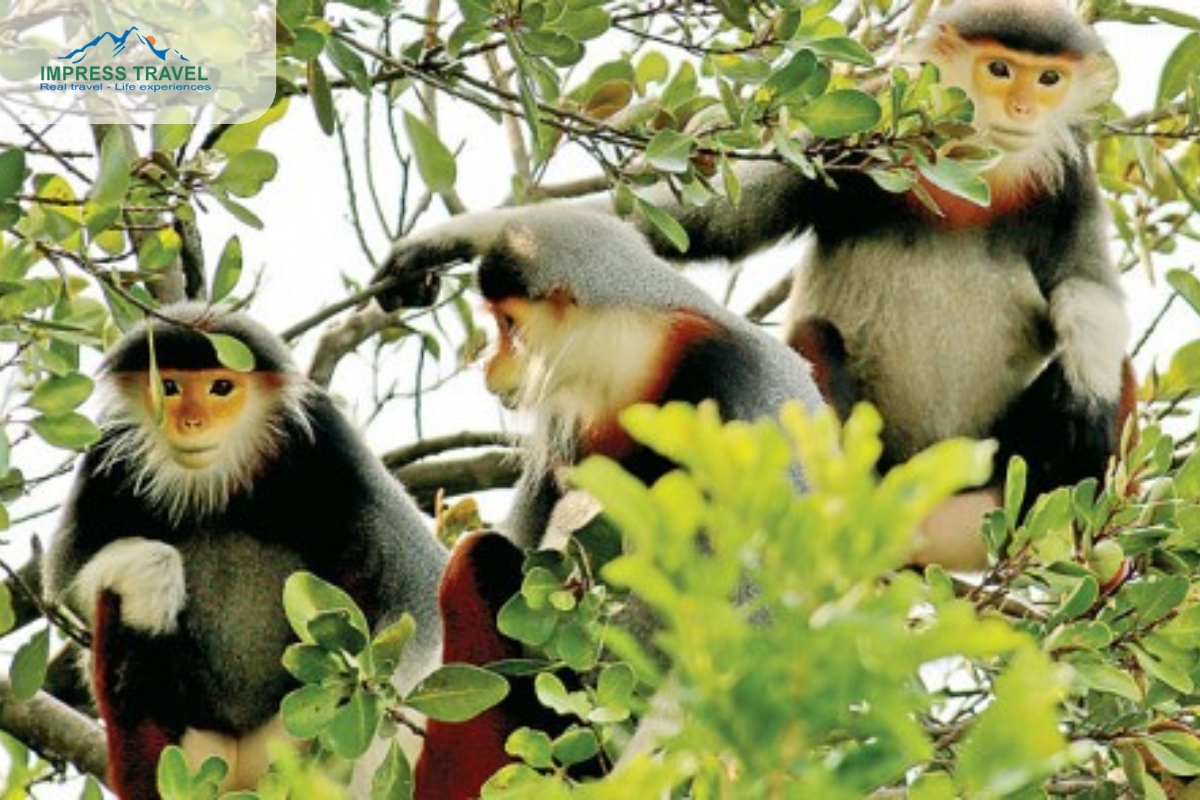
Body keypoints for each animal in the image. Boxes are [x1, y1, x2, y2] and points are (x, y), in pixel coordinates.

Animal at [41, 303, 451, 796]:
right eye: (169, 387)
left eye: (221, 387)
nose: (191, 423)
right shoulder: (108, 449)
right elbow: (64, 579)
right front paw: (148, 572)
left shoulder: (328, 439)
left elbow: (420, 593)